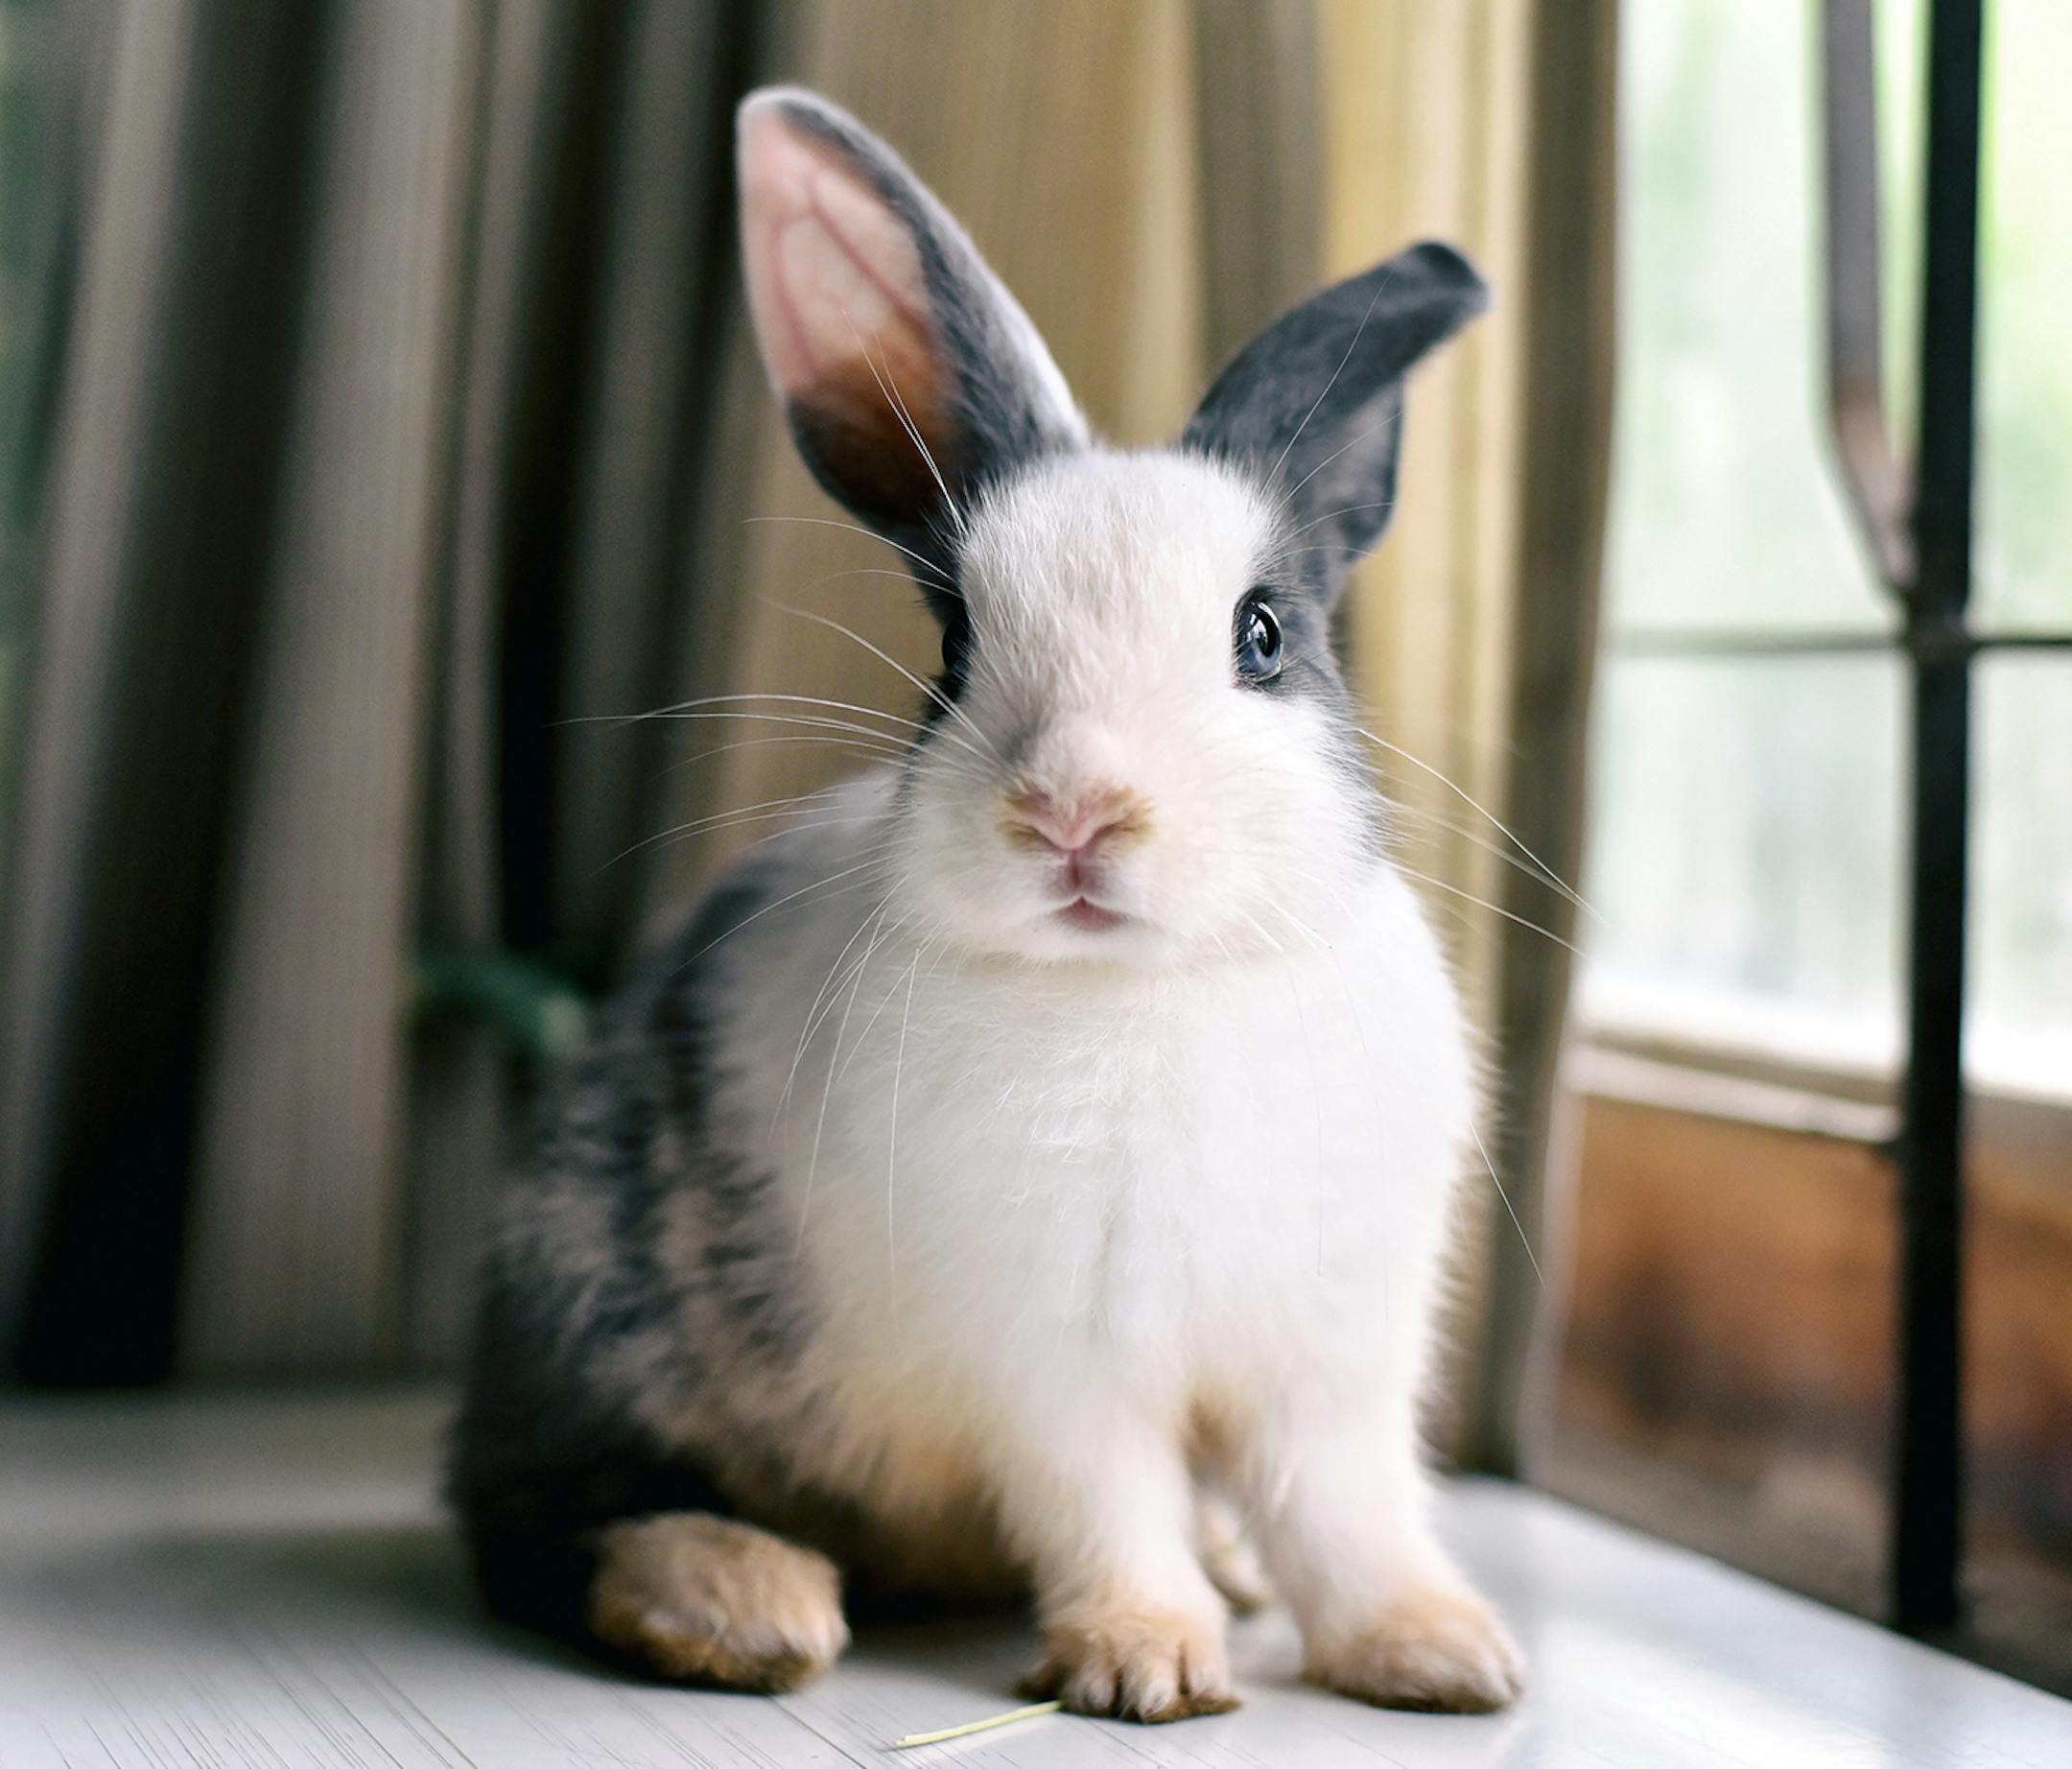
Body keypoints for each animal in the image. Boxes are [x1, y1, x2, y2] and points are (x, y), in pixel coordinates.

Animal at [449, 85, 1522, 1723]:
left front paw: (1444, 1657)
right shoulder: (1054, 1364)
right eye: (953, 646)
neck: (1150, 990)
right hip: (594, 1311)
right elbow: (1109, 1505)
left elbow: (1346, 1511)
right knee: (542, 1518)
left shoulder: (1330, 1360)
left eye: (1263, 634)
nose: (1074, 811)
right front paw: (1149, 1667)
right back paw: (743, 1602)